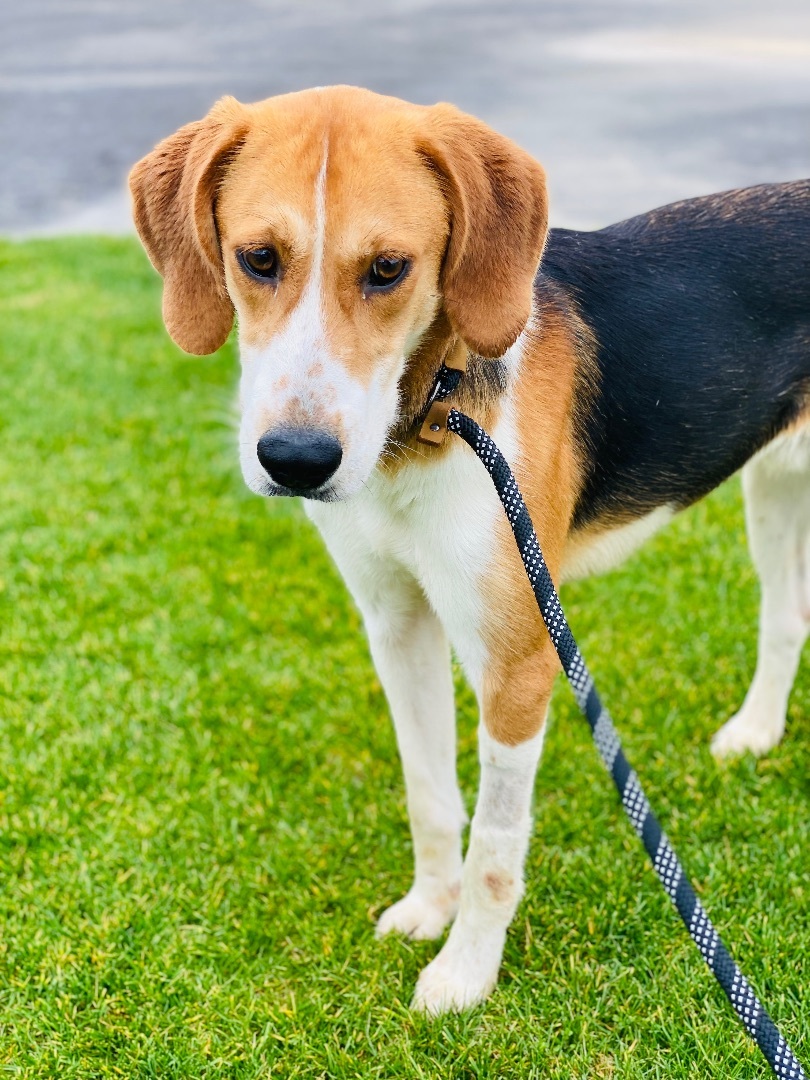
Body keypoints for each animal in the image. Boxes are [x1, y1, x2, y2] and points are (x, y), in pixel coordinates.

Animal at [128, 84, 810, 1010]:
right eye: (257, 258)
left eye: (389, 269)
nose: (296, 461)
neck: (428, 417)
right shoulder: (397, 624)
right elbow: (429, 791)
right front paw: (429, 906)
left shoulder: (518, 658)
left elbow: (495, 840)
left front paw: (465, 971)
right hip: (773, 486)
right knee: (785, 617)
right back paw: (756, 732)